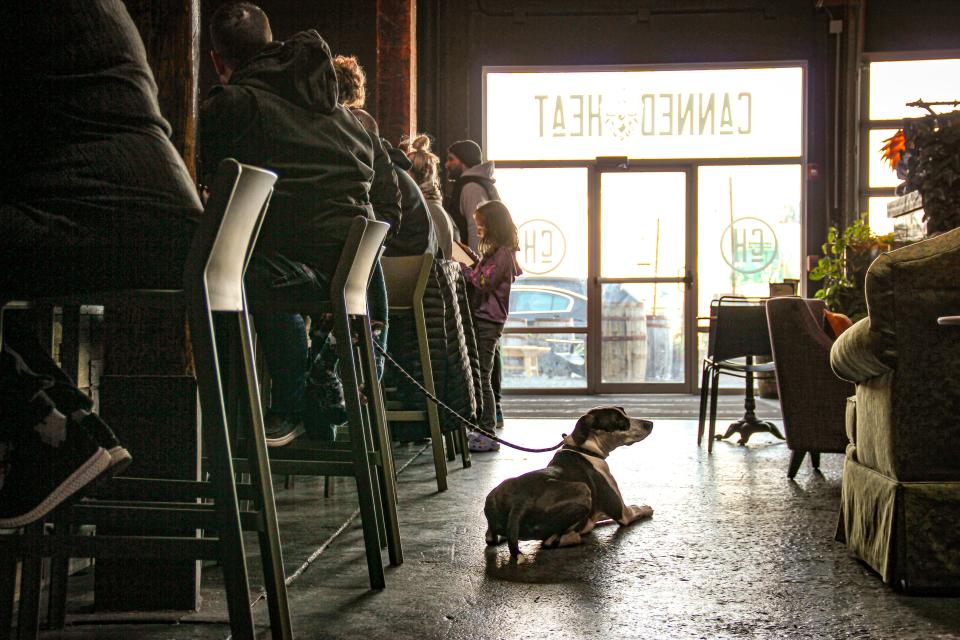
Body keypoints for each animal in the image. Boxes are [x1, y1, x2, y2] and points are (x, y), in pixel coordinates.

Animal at [484, 408, 656, 556]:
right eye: (619, 420)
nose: (650, 423)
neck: (585, 448)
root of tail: (520, 503)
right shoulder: (623, 513)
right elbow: (636, 509)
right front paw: (645, 507)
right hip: (583, 489)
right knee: (550, 541)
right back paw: (574, 536)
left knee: (491, 537)